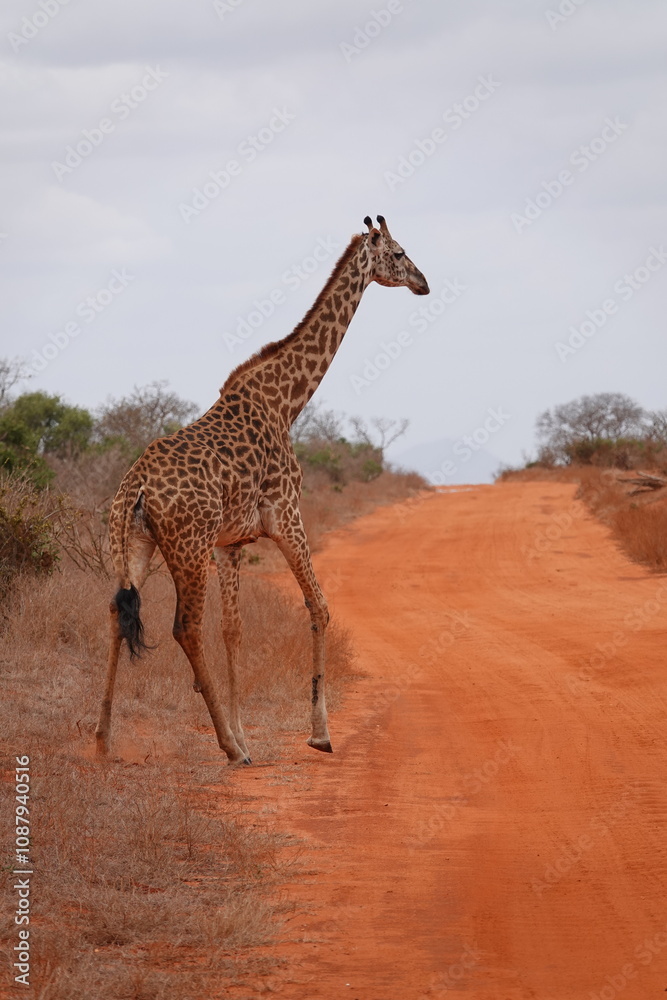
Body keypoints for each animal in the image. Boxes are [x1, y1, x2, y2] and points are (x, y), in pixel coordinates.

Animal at [95, 215, 429, 764]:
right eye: (400, 253)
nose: (424, 282)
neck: (287, 401)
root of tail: (137, 487)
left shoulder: (231, 543)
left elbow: (234, 630)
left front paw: (247, 733)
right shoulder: (287, 517)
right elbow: (320, 608)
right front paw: (318, 734)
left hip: (133, 543)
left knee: (116, 613)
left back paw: (102, 739)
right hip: (187, 547)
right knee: (184, 627)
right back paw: (227, 748)